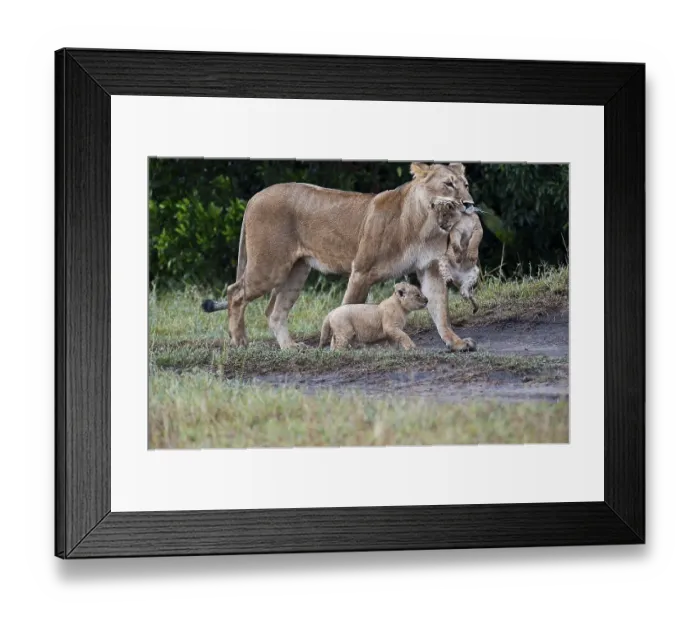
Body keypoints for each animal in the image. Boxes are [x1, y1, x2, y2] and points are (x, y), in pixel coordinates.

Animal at [201, 162, 479, 352]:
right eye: (448, 184)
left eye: (466, 185)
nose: (469, 204)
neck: (424, 225)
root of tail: (254, 197)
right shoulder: (362, 271)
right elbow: (348, 307)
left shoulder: (430, 269)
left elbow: (440, 310)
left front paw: (456, 343)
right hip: (270, 267)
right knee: (235, 292)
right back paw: (240, 341)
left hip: (296, 272)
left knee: (274, 312)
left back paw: (290, 347)